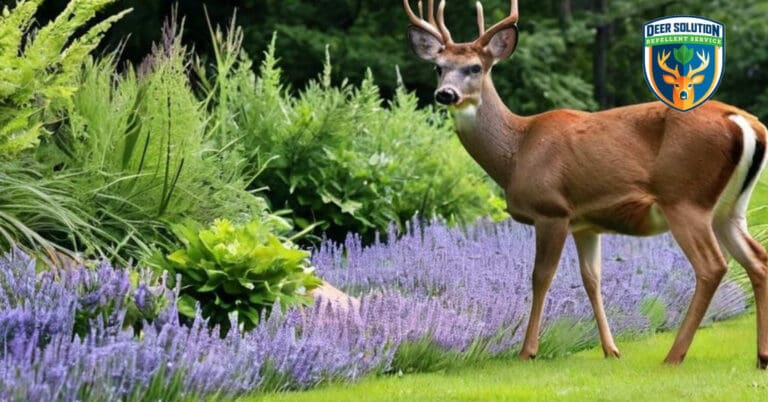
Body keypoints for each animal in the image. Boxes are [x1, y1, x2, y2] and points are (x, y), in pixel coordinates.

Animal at [403, 0, 768, 367]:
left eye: (476, 67)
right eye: (438, 67)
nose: (445, 94)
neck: (517, 152)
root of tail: (746, 123)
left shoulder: (551, 210)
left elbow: (540, 277)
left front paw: (527, 350)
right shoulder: (586, 224)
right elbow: (591, 279)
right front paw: (611, 349)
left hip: (685, 197)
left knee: (712, 266)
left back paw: (674, 355)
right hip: (729, 208)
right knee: (758, 260)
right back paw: (761, 356)